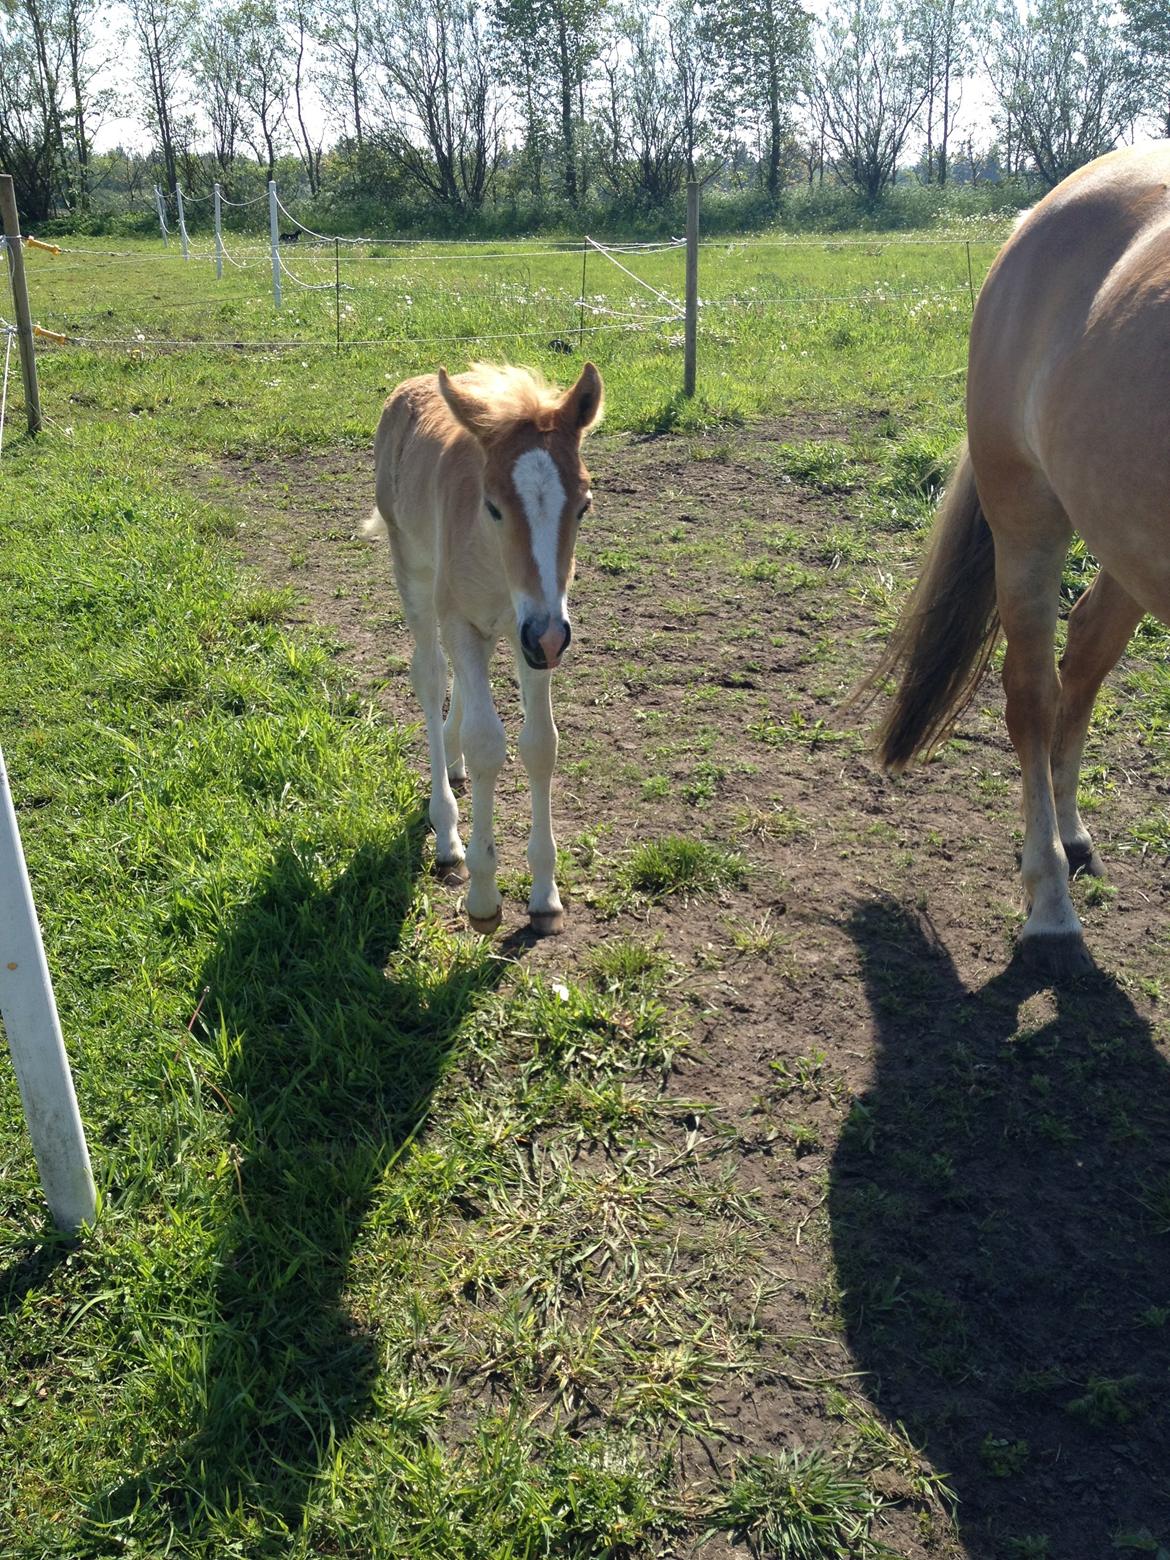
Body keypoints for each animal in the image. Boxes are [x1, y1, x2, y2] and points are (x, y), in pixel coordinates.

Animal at [366, 358, 605, 929]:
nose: (548, 636)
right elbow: (486, 744)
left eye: (583, 506)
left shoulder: (536, 632)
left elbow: (540, 745)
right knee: (430, 675)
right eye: (493, 507)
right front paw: (482, 895)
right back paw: (446, 830)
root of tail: (407, 387)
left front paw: (544, 892)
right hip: (414, 575)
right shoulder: (468, 622)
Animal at [861, 148, 1170, 973]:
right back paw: (1051, 896)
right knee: (1032, 690)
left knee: (1085, 652)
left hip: (1122, 533)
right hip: (1028, 514)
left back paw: (1071, 832)